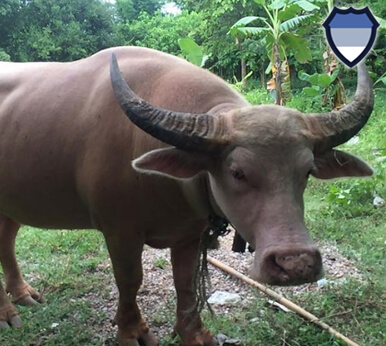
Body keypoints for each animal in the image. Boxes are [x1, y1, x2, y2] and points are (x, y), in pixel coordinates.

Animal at [0, 46, 374, 346]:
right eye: (237, 172)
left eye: (307, 172)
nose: (295, 263)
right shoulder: (120, 232)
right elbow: (130, 281)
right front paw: (132, 331)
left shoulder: (189, 234)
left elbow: (186, 284)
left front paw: (194, 333)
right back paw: (6, 312)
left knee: (7, 240)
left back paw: (22, 294)